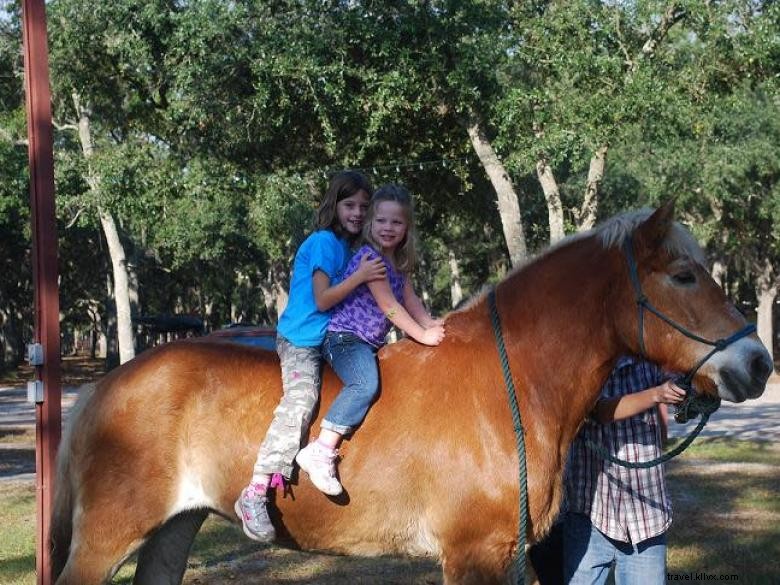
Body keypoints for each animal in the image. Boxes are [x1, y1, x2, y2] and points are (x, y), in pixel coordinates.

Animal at [51, 202, 772, 585]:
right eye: (684, 275)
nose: (759, 361)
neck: (508, 383)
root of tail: (102, 388)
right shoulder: (472, 556)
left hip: (173, 529)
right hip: (106, 540)